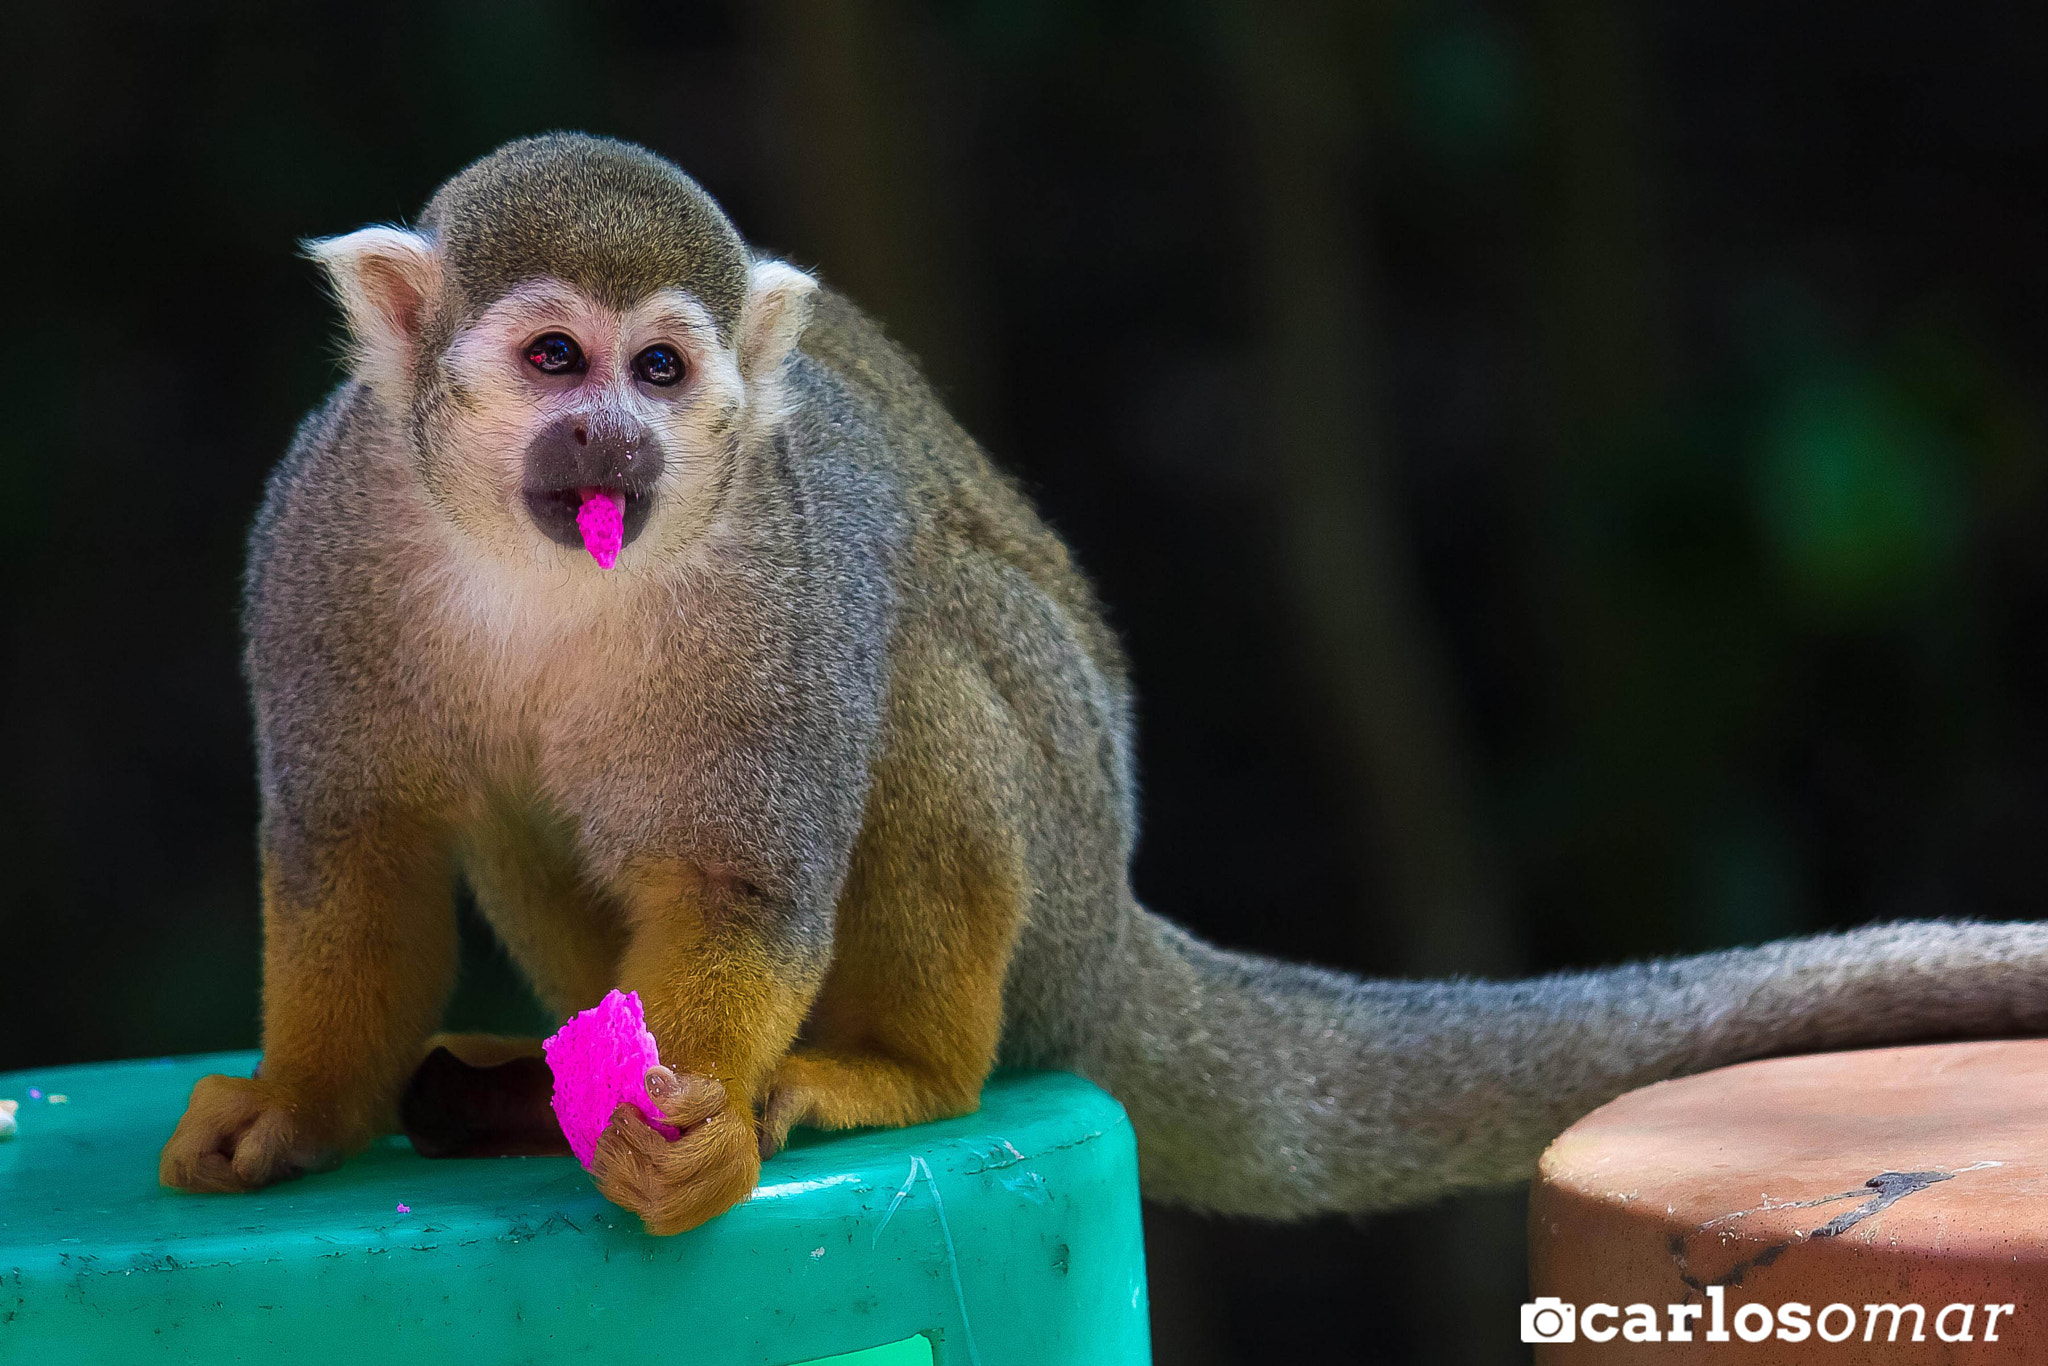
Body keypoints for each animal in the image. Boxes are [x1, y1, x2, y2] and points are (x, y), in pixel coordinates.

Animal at [159, 133, 2048, 1237]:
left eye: (662, 372)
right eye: (557, 360)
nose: (617, 446)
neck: (542, 564)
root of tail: (1119, 927)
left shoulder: (781, 569)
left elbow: (747, 877)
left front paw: (681, 1138)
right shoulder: (319, 526)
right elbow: (354, 847)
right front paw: (298, 1115)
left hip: (1056, 869)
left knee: (923, 665)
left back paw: (904, 1068)